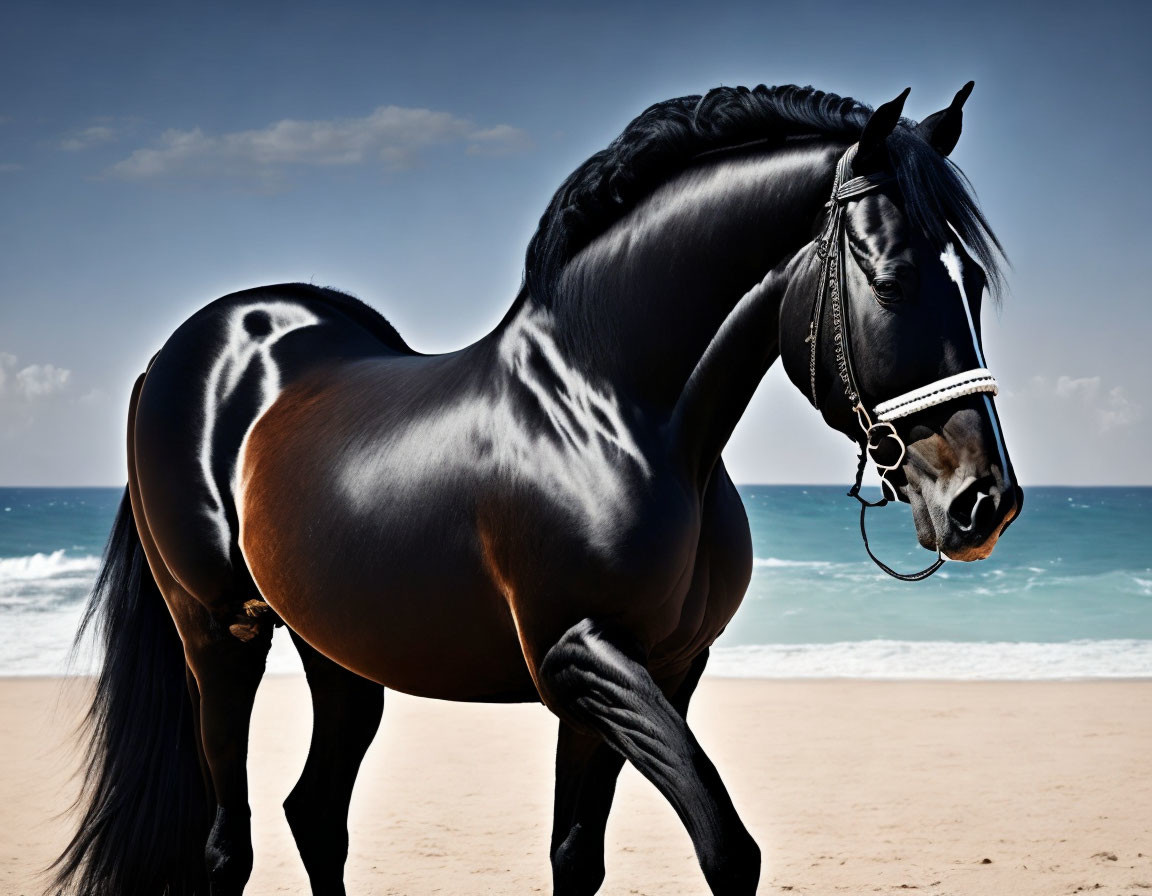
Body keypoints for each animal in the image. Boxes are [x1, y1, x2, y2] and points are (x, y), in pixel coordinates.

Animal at [54, 80, 1022, 889]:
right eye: (892, 282)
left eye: (973, 280)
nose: (985, 502)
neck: (608, 413)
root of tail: (187, 349)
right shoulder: (578, 655)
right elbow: (725, 845)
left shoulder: (667, 667)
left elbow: (576, 857)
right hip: (219, 632)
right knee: (230, 845)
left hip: (339, 649)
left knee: (315, 814)